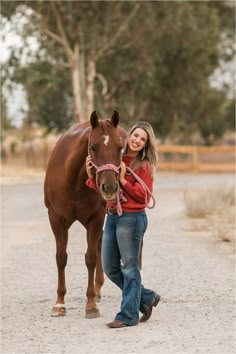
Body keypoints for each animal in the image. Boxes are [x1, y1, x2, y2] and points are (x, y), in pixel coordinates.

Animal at [44, 110, 127, 318]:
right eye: (93, 147)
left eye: (120, 147)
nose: (110, 187)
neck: (74, 179)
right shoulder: (56, 218)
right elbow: (61, 258)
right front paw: (59, 303)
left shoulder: (95, 218)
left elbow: (90, 258)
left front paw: (90, 305)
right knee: (100, 241)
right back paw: (97, 290)